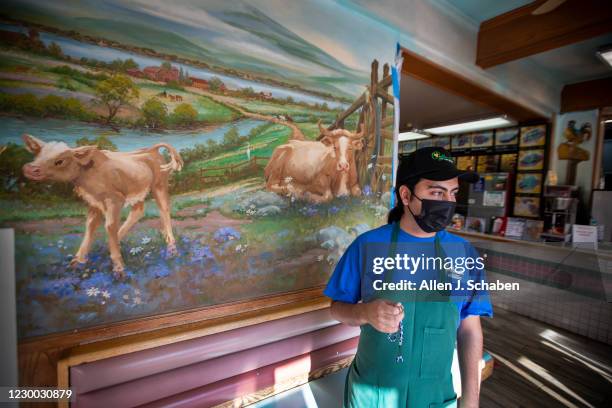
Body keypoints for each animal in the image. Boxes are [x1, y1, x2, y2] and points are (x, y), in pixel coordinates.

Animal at [22, 135, 184, 278]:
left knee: (164, 210)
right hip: (138, 191)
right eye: (38, 155)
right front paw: (77, 261)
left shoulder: (114, 200)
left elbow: (110, 225)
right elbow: (90, 226)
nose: (30, 168)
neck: (88, 172)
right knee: (138, 211)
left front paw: (119, 268)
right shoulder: (94, 203)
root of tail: (151, 149)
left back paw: (172, 249)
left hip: (159, 186)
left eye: (59, 161)